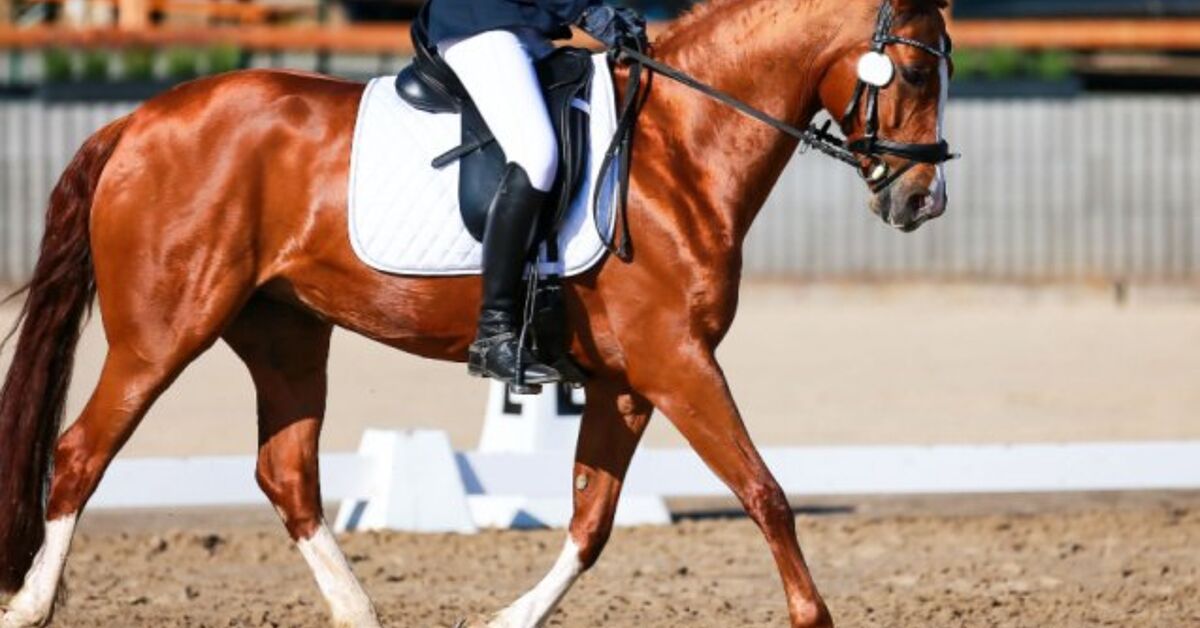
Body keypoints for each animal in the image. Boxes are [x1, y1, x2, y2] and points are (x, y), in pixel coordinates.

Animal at [0, 0, 951, 626]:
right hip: (162, 333)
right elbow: (766, 492)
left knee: (287, 474)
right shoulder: (677, 362)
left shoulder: (628, 381)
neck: (679, 148)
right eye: (910, 70)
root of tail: (136, 122)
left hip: (285, 333)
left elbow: (592, 521)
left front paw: (511, 619)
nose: (922, 202)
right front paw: (812, 616)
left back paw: (359, 613)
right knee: (80, 454)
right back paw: (31, 607)